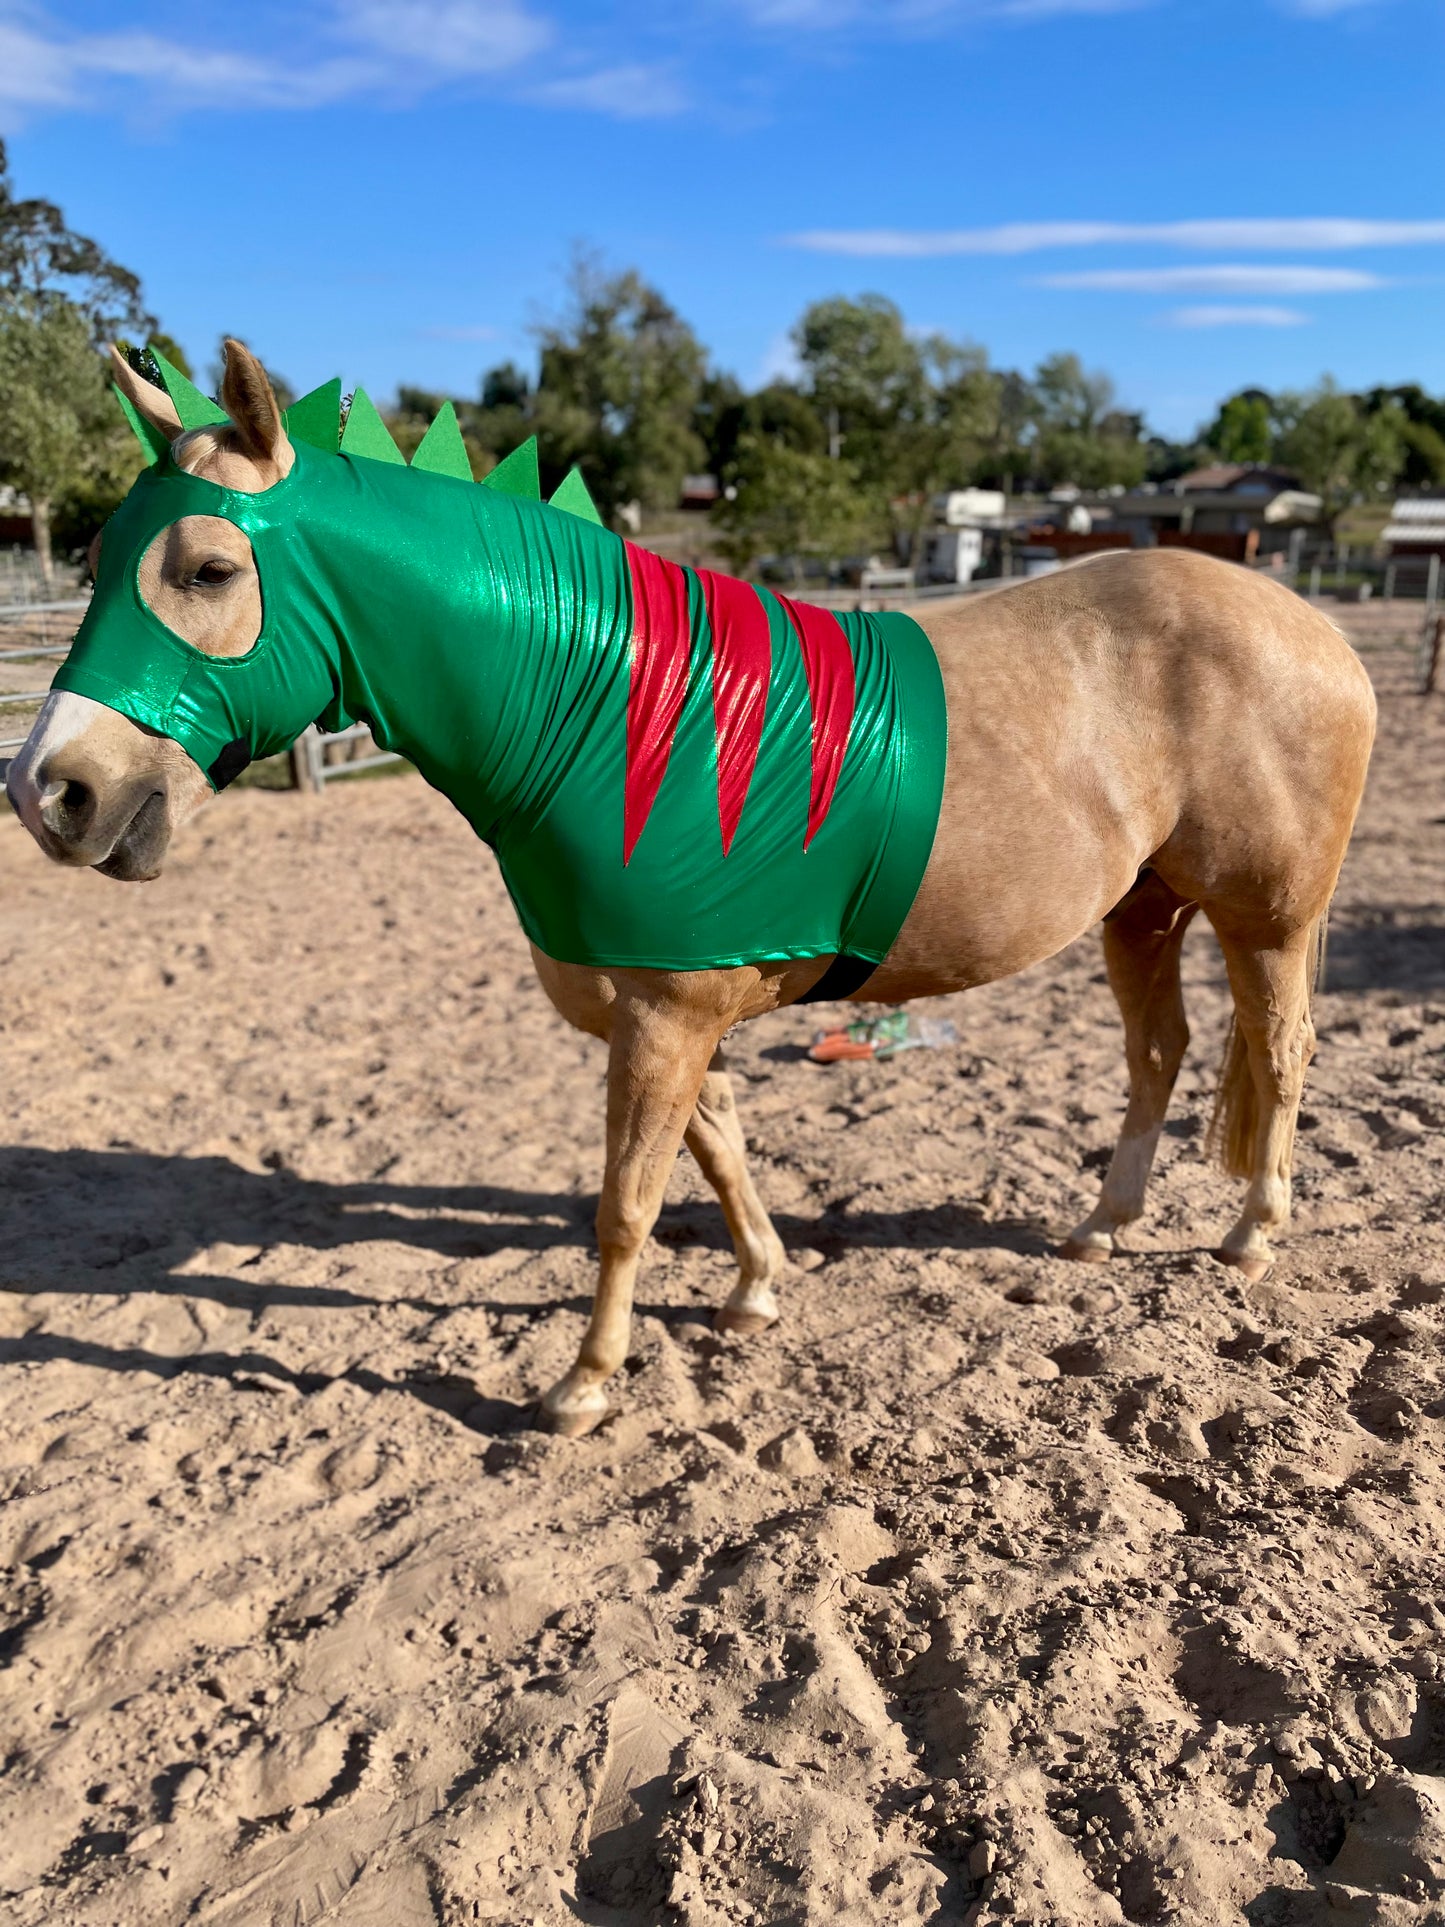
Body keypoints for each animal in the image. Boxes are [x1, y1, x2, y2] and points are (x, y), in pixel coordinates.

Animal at [6, 339, 1376, 1437]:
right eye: (101, 559)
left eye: (205, 570)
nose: (50, 790)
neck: (611, 716)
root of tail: (1317, 630)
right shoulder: (657, 1008)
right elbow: (714, 1154)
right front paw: (756, 1287)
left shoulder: (665, 1013)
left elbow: (624, 1201)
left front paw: (582, 1382)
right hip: (1139, 909)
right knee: (1158, 1053)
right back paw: (1103, 1222)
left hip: (1263, 917)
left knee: (1280, 1050)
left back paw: (1251, 1233)